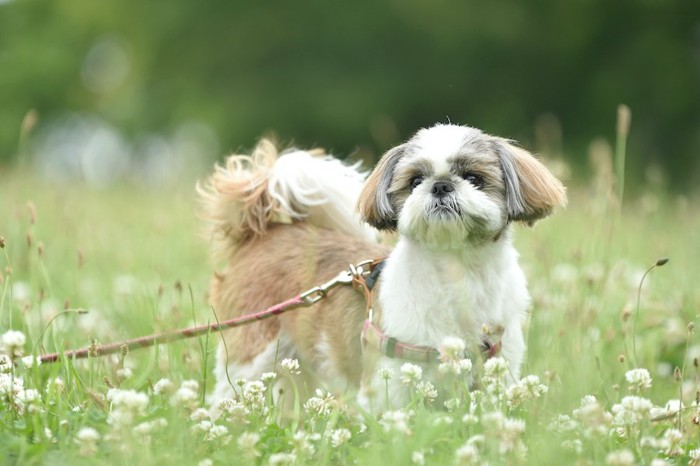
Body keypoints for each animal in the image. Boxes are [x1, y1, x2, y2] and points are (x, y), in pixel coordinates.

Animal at [198, 124, 568, 412]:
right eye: (415, 180)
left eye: (473, 177)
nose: (441, 185)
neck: (457, 272)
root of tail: (266, 231)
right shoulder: (392, 380)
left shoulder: (498, 371)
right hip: (253, 356)